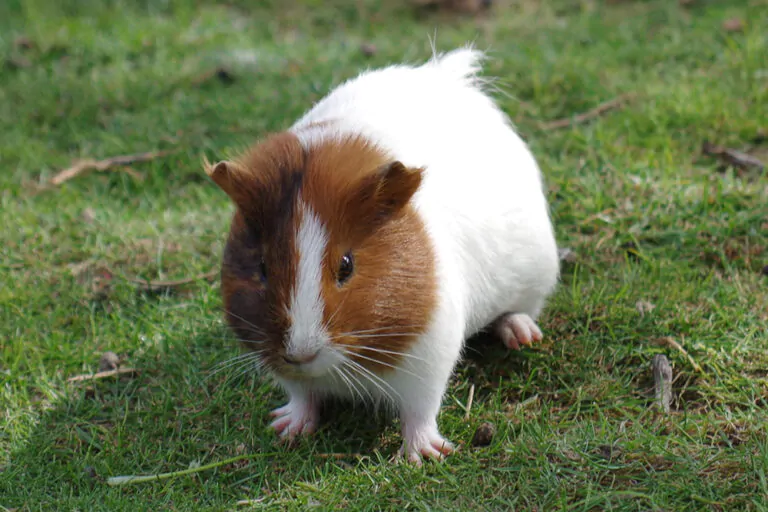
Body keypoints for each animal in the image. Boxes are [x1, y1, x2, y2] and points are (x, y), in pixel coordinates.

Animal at [205, 46, 559, 464]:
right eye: (261, 266)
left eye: (347, 265)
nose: (301, 353)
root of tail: (446, 74)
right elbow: (302, 396)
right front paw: (286, 429)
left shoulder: (430, 356)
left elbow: (420, 411)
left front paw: (423, 455)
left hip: (535, 278)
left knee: (518, 312)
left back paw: (522, 335)